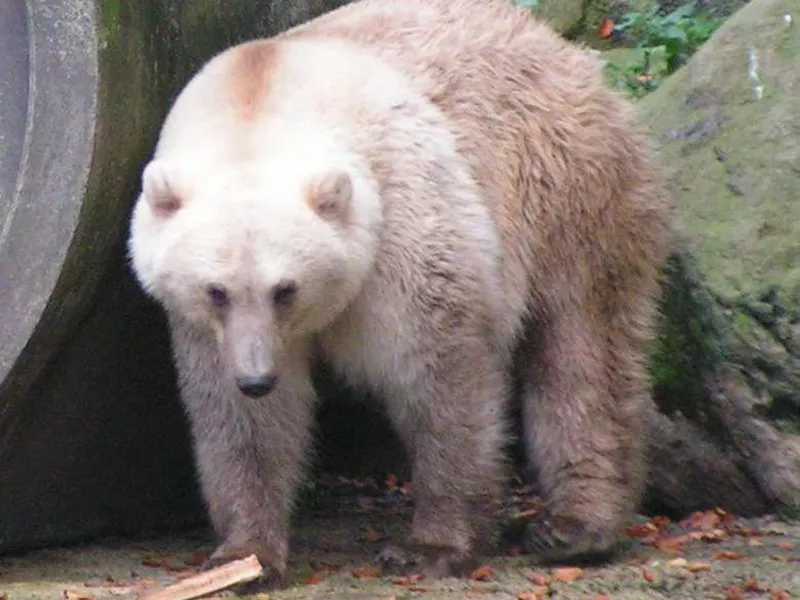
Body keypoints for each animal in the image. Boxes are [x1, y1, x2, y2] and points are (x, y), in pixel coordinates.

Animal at [128, 0, 672, 584]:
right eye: (216, 291)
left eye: (285, 289)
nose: (257, 378)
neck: (261, 100)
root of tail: (565, 50)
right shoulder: (205, 329)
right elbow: (241, 421)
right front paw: (245, 555)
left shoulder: (401, 218)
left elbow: (439, 374)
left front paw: (433, 546)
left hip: (568, 185)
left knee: (582, 347)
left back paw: (575, 526)